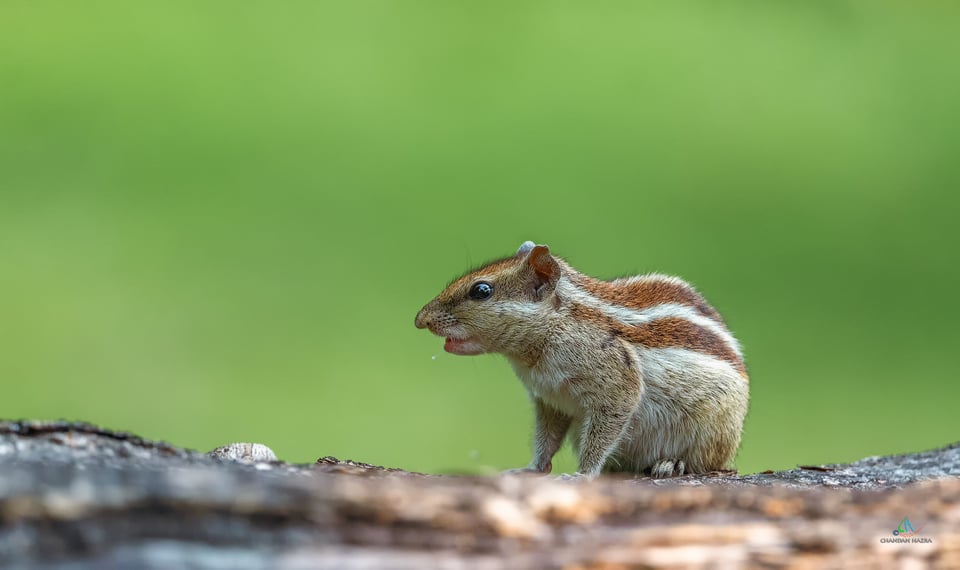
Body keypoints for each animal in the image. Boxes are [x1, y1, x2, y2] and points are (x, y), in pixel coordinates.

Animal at [414, 240, 752, 474]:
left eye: (481, 290)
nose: (420, 320)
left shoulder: (617, 386)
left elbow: (603, 431)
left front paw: (583, 474)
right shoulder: (550, 400)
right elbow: (546, 439)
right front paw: (531, 469)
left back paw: (672, 463)